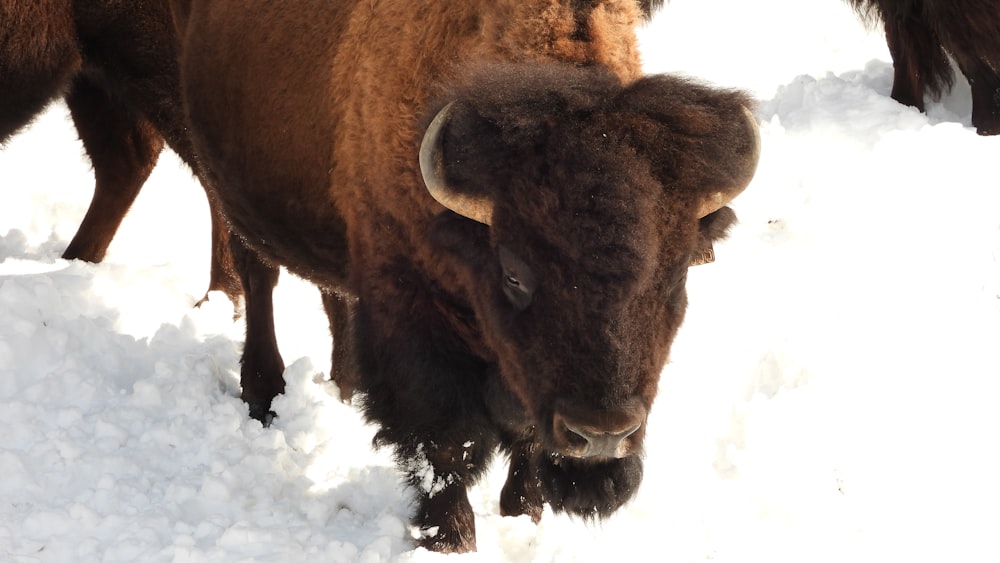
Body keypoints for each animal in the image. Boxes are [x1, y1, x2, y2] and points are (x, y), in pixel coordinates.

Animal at [174, 0, 756, 556]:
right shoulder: (411, 310)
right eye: (516, 275)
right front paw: (449, 539)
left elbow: (526, 432)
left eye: (676, 276)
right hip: (229, 191)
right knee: (259, 277)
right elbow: (445, 444)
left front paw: (525, 514)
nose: (601, 436)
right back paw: (263, 396)